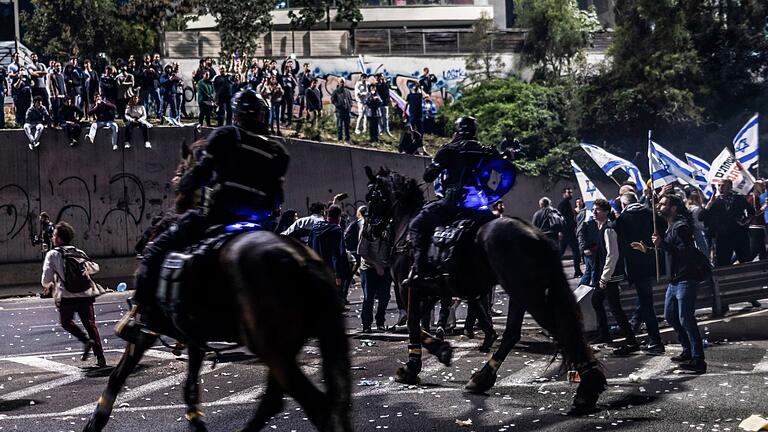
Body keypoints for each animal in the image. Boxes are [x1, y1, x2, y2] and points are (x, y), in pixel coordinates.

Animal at [364, 166, 608, 416]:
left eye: (372, 196)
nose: (370, 230)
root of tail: (537, 234)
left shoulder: (409, 286)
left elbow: (414, 324)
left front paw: (417, 364)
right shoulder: (431, 290)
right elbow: (422, 322)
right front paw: (436, 349)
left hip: (527, 293)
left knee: (560, 329)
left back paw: (587, 389)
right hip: (519, 292)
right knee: (514, 333)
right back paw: (483, 377)